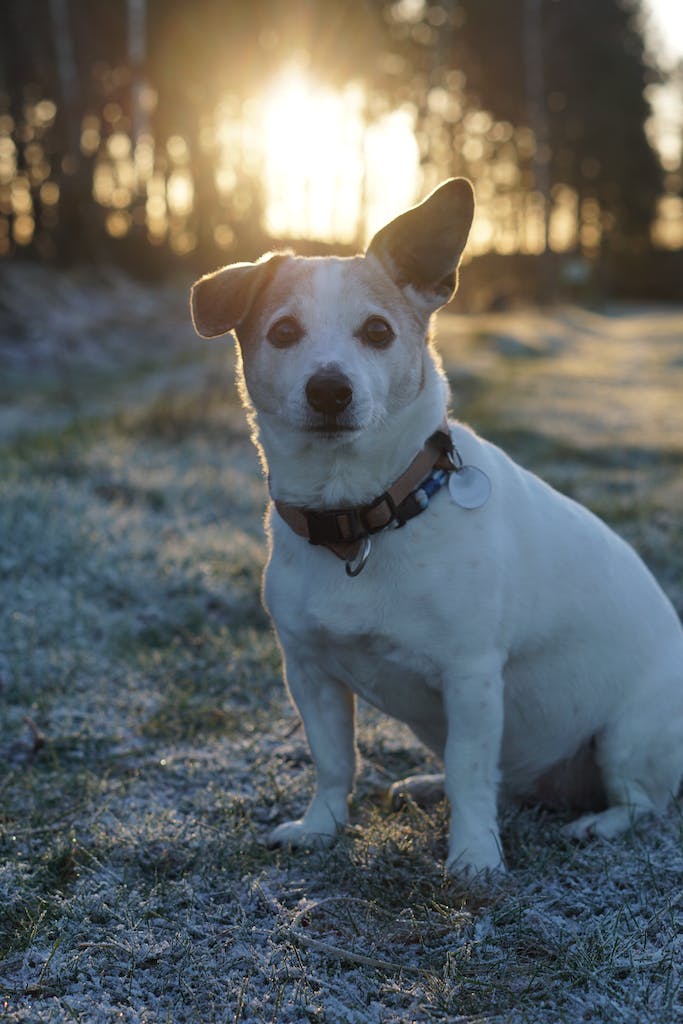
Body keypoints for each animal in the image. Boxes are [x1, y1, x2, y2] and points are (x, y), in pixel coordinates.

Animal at [189, 180, 683, 876]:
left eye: (377, 331)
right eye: (283, 331)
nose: (330, 389)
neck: (364, 518)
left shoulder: (471, 676)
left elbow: (469, 775)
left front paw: (474, 857)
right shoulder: (309, 674)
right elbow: (334, 762)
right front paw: (321, 827)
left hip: (628, 737)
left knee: (642, 803)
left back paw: (597, 824)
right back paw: (425, 786)